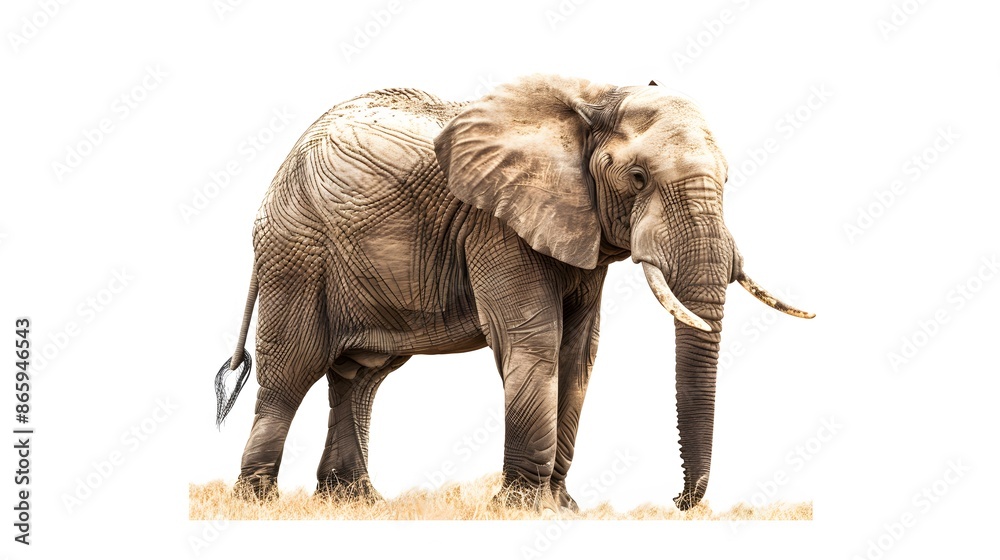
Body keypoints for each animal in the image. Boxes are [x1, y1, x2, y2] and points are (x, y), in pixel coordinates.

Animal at [212, 74, 814, 512]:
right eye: (639, 178)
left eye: (729, 180)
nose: (679, 502)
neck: (593, 100)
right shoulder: (495, 223)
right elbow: (534, 339)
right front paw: (523, 507)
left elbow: (579, 353)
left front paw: (562, 507)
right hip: (297, 253)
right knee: (292, 369)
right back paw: (257, 501)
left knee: (359, 378)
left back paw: (355, 502)